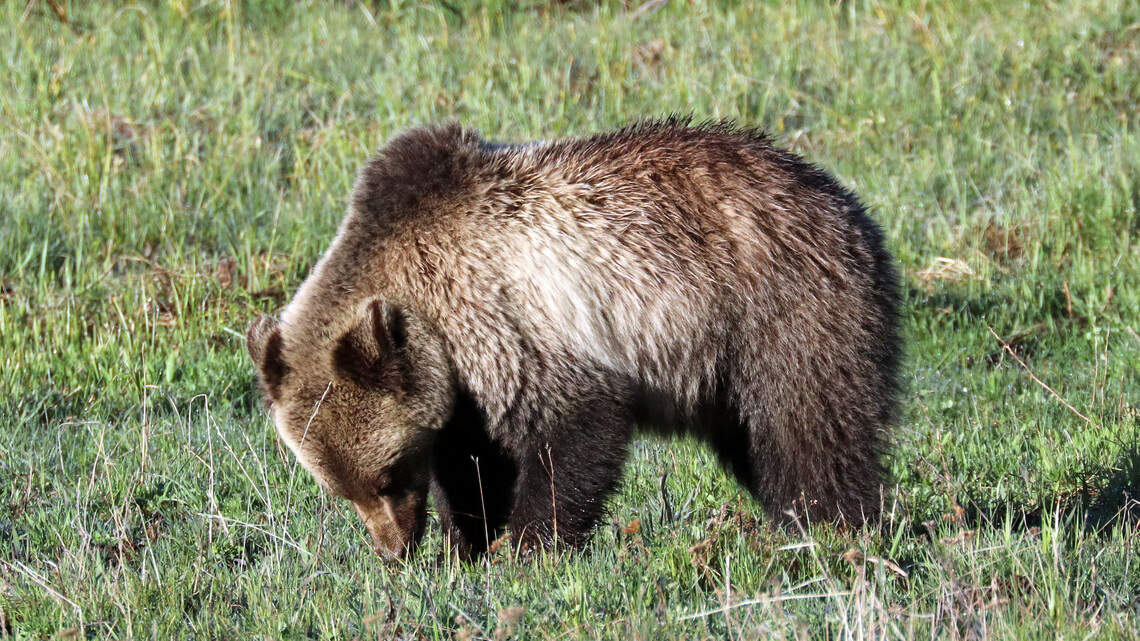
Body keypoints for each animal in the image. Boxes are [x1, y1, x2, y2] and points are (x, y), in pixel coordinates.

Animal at [246, 118, 902, 560]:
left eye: (387, 476)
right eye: (340, 490)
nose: (394, 549)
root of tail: (847, 203)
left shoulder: (511, 319)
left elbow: (572, 434)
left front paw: (526, 548)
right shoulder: (463, 382)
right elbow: (472, 463)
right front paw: (464, 548)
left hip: (779, 313)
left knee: (808, 428)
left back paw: (831, 528)